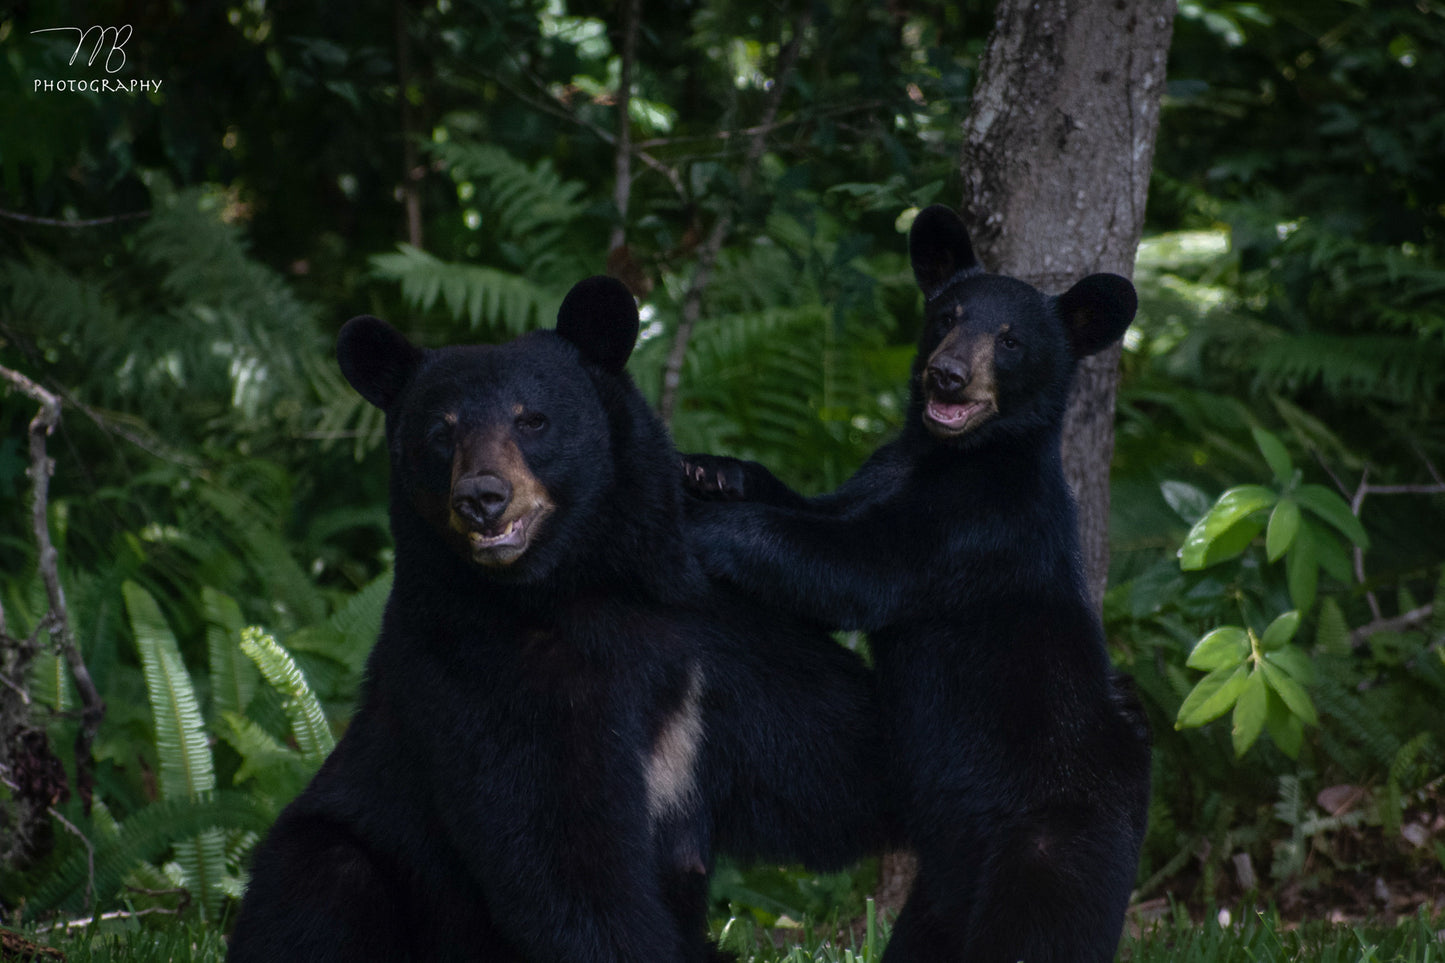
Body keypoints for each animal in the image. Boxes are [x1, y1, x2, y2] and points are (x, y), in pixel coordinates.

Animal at [227, 275, 891, 963]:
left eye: (532, 419)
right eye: (441, 432)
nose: (482, 498)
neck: (578, 589)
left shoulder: (719, 634)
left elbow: (836, 752)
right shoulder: (479, 672)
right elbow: (562, 855)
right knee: (324, 881)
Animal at [680, 205, 1152, 963]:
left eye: (1011, 339)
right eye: (947, 315)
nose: (948, 375)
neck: (950, 457)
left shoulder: (977, 528)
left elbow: (857, 566)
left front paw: (706, 524)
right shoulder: (881, 471)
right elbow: (820, 509)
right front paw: (711, 471)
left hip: (1053, 847)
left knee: (1037, 933)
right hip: (939, 891)